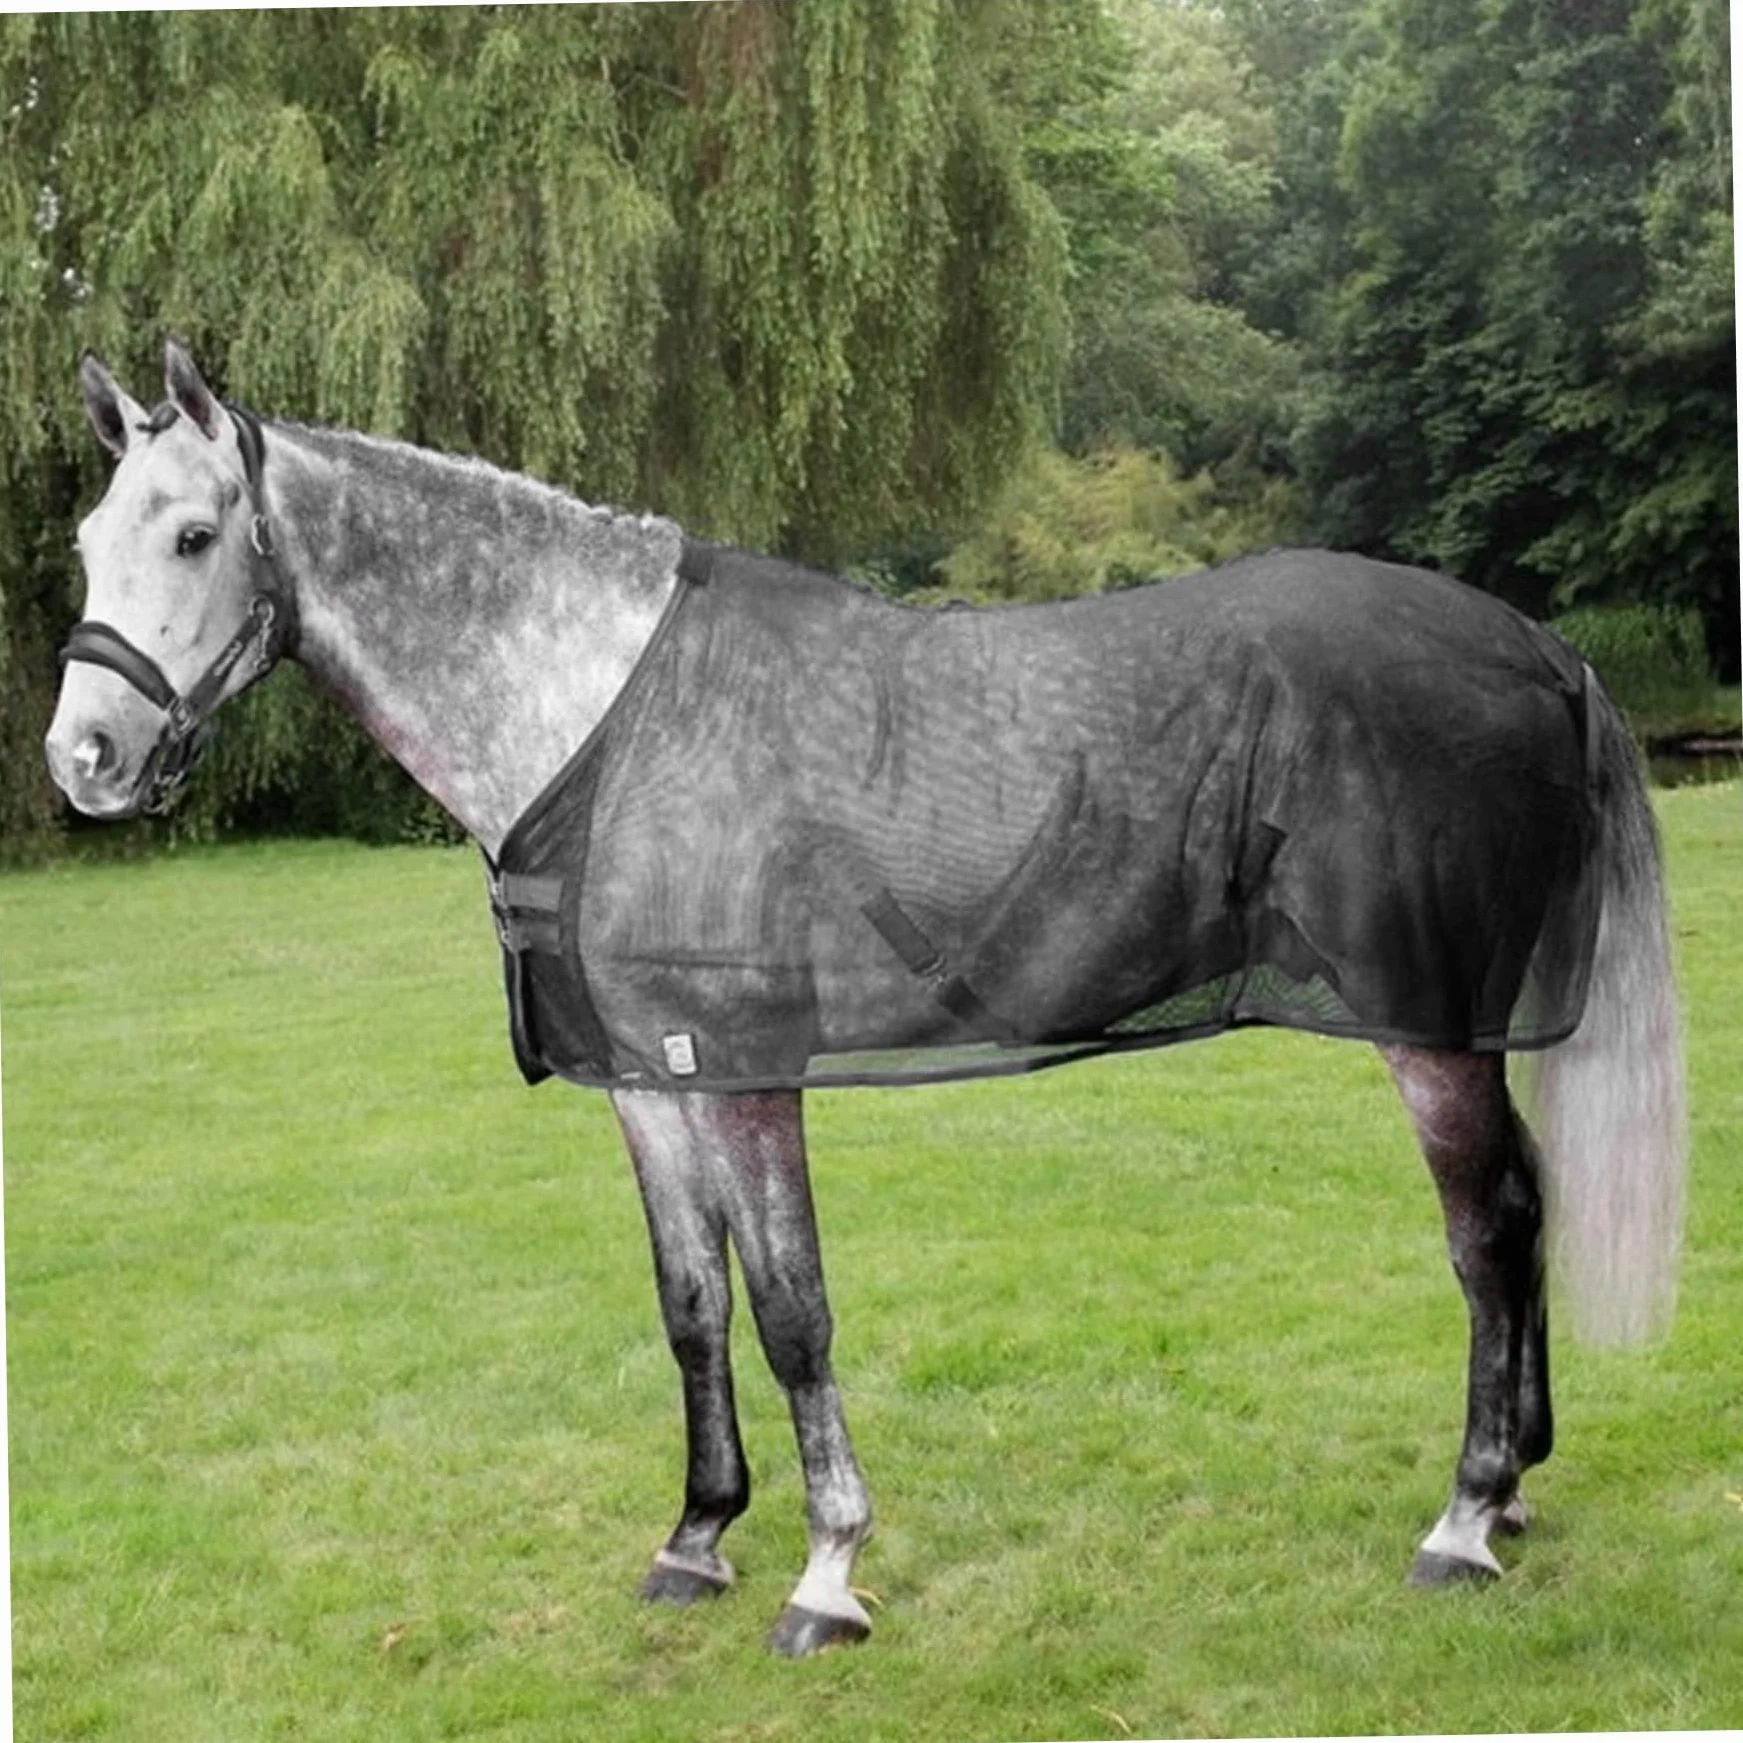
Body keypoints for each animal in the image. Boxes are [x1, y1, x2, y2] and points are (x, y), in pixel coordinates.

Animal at [45, 341, 1686, 1658]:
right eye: (85, 538)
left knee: (1487, 1236)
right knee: (1523, 1210)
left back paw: (1463, 1517)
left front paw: (826, 1572)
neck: (607, 718)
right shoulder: (651, 1080)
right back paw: (1515, 1494)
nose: (84, 760)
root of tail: (1540, 647)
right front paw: (695, 1538)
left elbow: (791, 1310)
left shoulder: (743, 1069)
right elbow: (692, 1307)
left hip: (1427, 1029)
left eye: (194, 533)